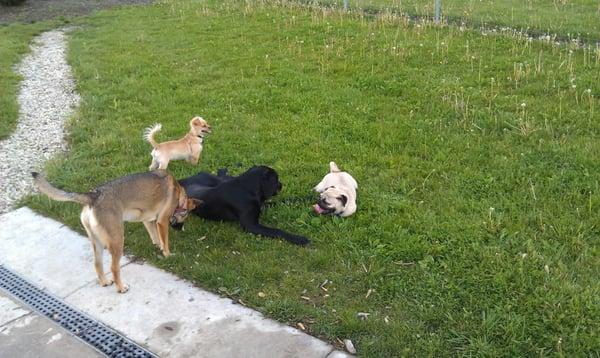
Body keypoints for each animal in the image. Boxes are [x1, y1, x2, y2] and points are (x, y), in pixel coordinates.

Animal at [32, 171, 199, 294]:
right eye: (185, 215)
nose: (181, 228)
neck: (179, 191)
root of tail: (94, 195)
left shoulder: (148, 221)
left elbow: (156, 237)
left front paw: (158, 247)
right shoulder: (162, 222)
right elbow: (165, 240)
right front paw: (168, 254)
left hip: (97, 242)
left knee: (97, 263)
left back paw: (105, 282)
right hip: (118, 240)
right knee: (113, 267)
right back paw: (121, 288)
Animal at [177, 166, 310, 246]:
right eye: (276, 179)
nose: (281, 185)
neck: (247, 189)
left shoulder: (261, 205)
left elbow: (282, 201)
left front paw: (303, 199)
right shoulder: (251, 226)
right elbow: (277, 231)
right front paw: (299, 239)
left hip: (217, 179)